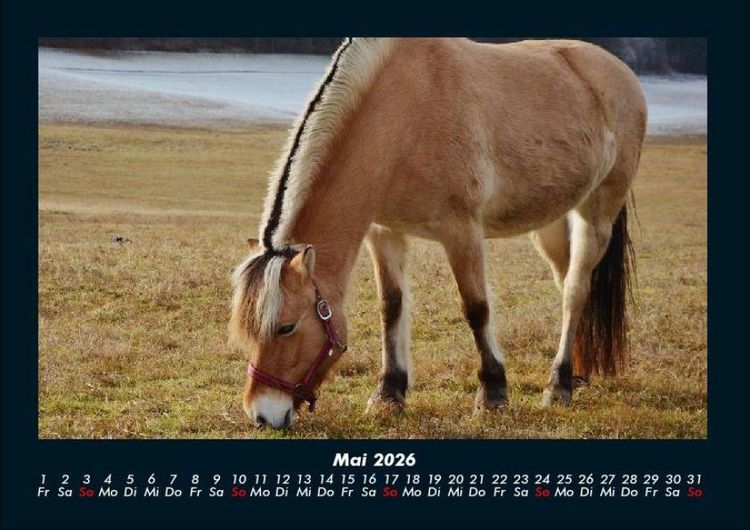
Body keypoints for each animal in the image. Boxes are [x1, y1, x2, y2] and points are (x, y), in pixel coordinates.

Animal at [230, 37, 646, 429]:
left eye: (287, 327)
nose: (262, 414)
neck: (405, 113)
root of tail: (619, 73)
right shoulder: (384, 232)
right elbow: (392, 307)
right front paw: (389, 394)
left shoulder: (461, 231)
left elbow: (476, 308)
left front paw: (492, 395)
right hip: (552, 224)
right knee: (568, 286)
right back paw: (577, 374)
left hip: (596, 212)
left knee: (575, 292)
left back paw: (558, 386)